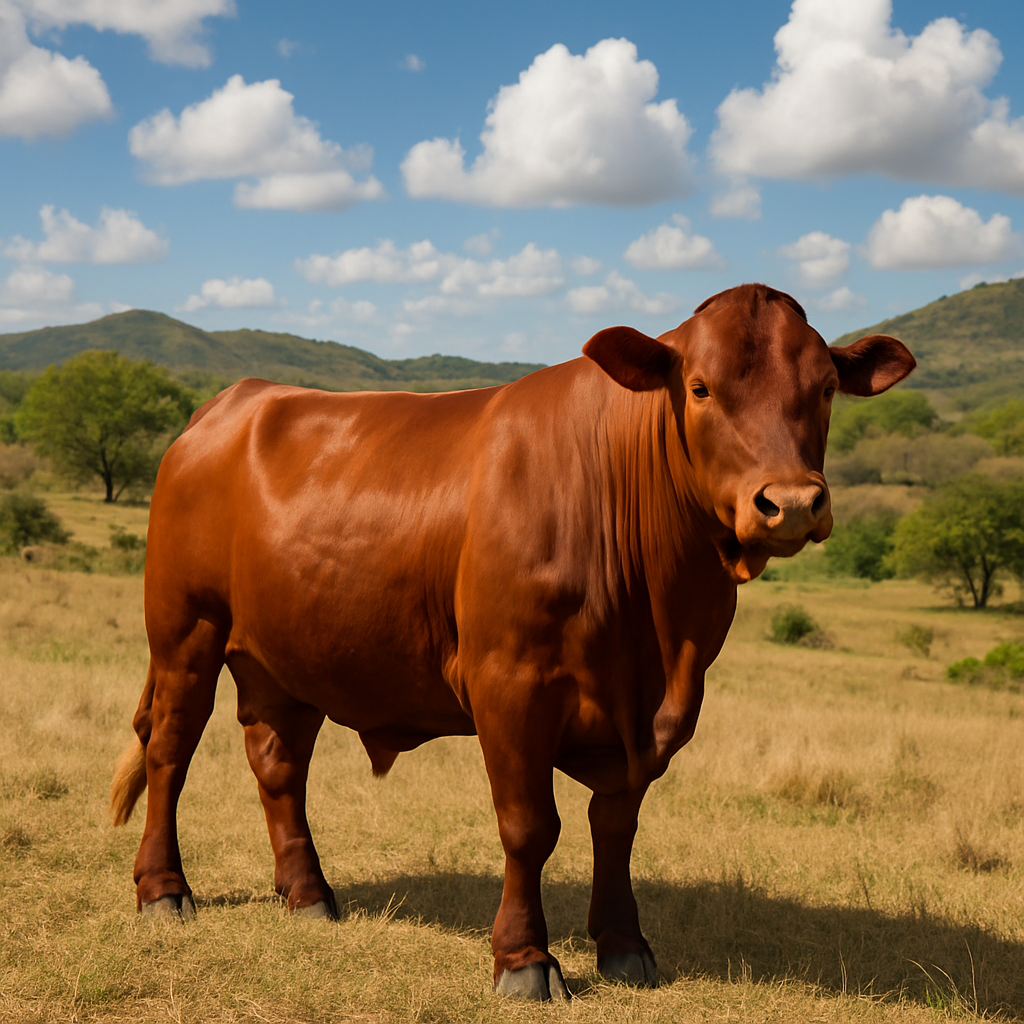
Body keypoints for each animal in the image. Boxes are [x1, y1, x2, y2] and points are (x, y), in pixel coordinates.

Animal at [110, 284, 915, 999]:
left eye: (825, 389)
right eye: (700, 388)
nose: (792, 503)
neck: (659, 627)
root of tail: (233, 400)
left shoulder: (656, 717)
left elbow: (616, 825)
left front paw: (625, 946)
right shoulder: (510, 685)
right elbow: (531, 826)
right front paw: (525, 961)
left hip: (289, 654)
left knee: (278, 762)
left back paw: (309, 895)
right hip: (186, 630)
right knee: (171, 748)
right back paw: (163, 890)